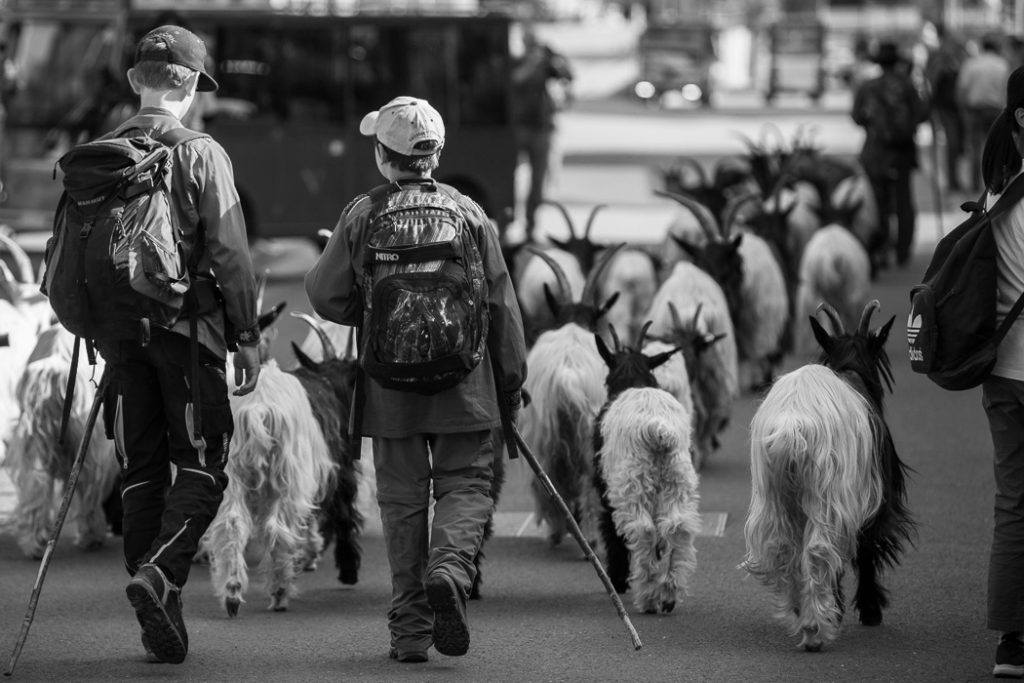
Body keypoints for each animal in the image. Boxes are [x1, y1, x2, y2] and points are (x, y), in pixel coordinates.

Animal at [589, 323, 700, 618]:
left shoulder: (607, 489)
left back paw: (648, 597)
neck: (634, 383)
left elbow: (610, 529)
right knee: (678, 528)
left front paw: (617, 579)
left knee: (643, 530)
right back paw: (669, 595)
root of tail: (657, 429)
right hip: (678, 480)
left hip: (633, 484)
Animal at [741, 301, 917, 651]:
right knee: (820, 549)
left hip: (775, 492)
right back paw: (815, 629)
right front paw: (870, 609)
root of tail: (792, 425)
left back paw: (803, 613)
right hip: (826, 490)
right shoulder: (871, 496)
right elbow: (866, 548)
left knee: (786, 549)